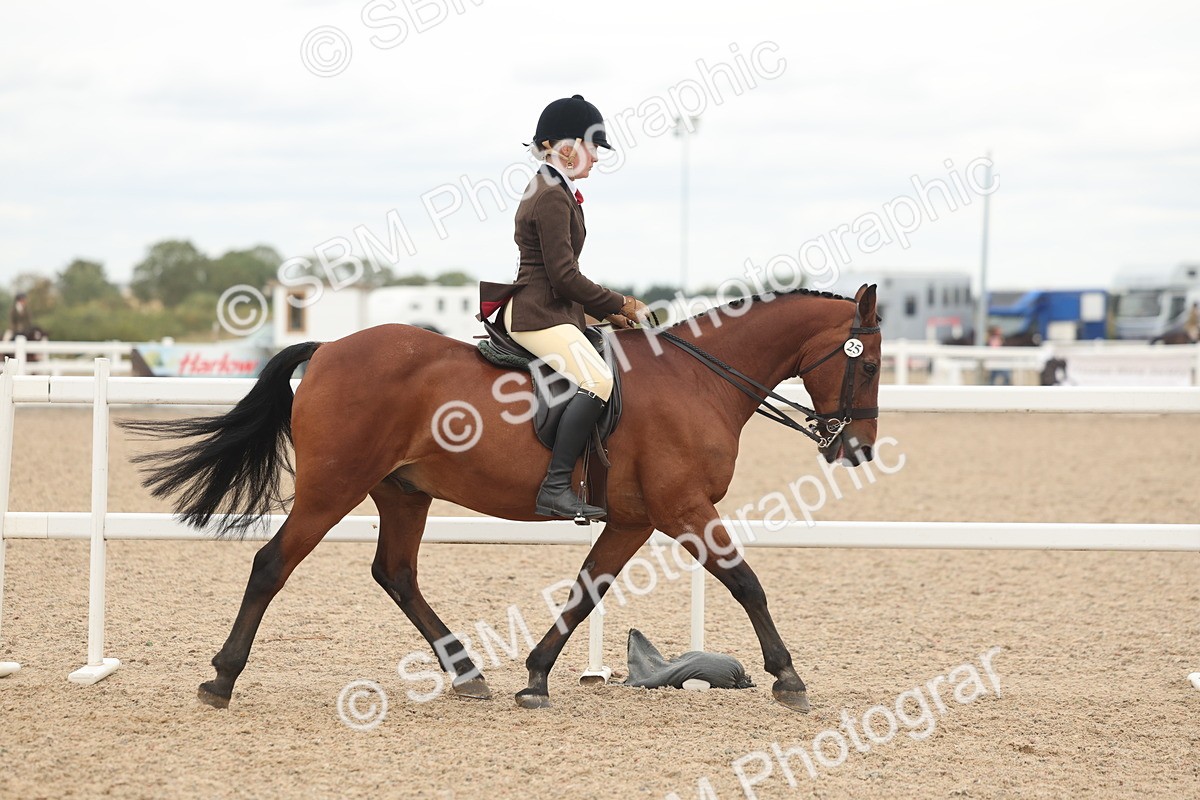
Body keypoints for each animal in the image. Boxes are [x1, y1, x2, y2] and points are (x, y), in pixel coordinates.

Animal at [121, 284, 881, 713]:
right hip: (333, 487)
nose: (858, 448)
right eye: (868, 362)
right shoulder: (683, 510)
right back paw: (222, 679)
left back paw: (466, 673)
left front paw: (536, 678)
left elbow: (585, 593)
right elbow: (746, 582)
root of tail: (331, 347)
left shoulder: (635, 520)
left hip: (402, 492)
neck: (699, 381)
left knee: (396, 573)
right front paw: (788, 678)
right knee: (273, 565)